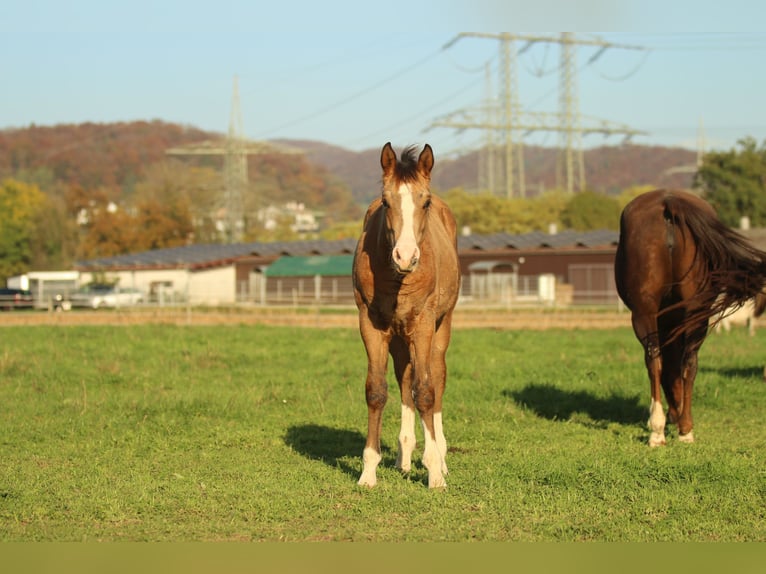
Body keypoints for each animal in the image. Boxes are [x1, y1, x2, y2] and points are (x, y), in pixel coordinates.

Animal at [352, 142, 460, 488]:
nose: (405, 256)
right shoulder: (371, 324)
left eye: (424, 202)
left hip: (441, 327)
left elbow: (425, 391)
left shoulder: (424, 323)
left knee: (436, 377)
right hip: (400, 337)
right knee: (404, 378)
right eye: (386, 202)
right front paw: (368, 472)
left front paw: (435, 473)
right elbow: (376, 391)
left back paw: (440, 456)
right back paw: (404, 458)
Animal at [614, 188, 766, 446]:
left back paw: (658, 430)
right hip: (697, 312)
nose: (673, 415)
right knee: (690, 362)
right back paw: (686, 429)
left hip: (644, 314)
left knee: (654, 360)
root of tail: (668, 200)